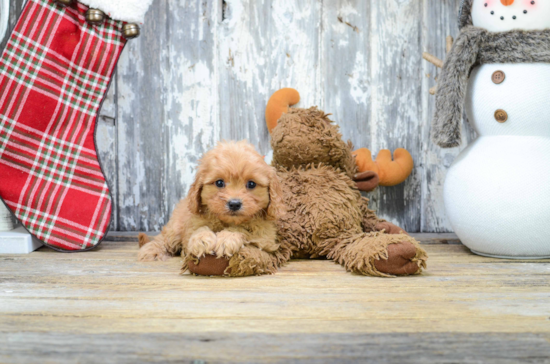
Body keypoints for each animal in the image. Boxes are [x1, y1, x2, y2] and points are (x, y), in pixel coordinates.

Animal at [137, 140, 288, 276]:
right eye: (219, 182)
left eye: (251, 184)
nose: (234, 203)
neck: (227, 221)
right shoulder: (192, 224)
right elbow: (198, 230)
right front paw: (201, 239)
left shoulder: (265, 238)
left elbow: (243, 229)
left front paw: (227, 238)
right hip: (175, 228)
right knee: (164, 239)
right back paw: (150, 251)